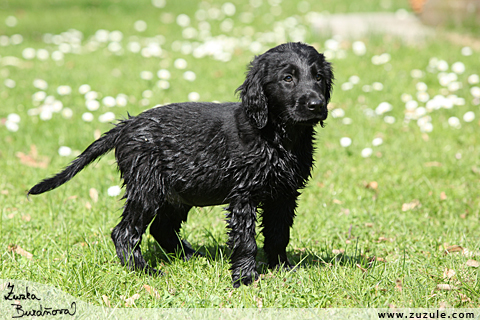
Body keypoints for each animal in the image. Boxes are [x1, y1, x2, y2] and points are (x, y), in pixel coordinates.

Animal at [29, 42, 334, 288]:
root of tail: (128, 124)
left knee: (160, 229)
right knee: (124, 232)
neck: (278, 137)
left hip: (178, 192)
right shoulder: (244, 195)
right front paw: (245, 278)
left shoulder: (284, 194)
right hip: (146, 188)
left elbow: (278, 233)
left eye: (318, 77)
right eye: (287, 78)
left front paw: (282, 268)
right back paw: (143, 270)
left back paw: (191, 256)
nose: (316, 104)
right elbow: (246, 240)